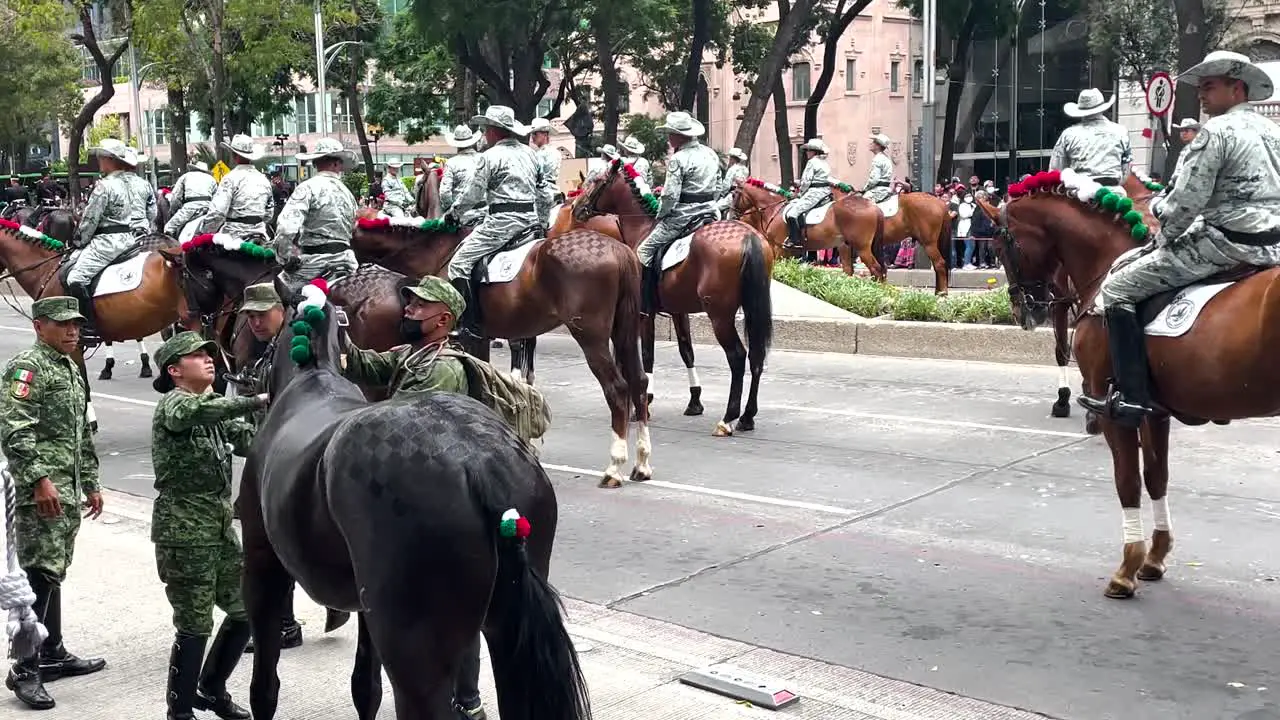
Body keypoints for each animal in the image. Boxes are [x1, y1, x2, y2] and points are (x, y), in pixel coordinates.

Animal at [240, 281, 588, 717]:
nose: (243, 368)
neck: (311, 380)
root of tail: (481, 462)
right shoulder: (367, 609)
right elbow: (365, 688)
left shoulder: (262, 564)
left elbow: (264, 684)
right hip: (505, 632)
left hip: (413, 654)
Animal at [348, 210, 650, 484]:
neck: (438, 251)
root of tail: (618, 249)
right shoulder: (480, 338)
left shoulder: (469, 337)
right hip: (625, 332)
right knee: (639, 382)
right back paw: (642, 463)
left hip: (591, 337)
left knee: (617, 389)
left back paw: (614, 466)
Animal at [578, 158, 773, 435]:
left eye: (596, 180)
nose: (576, 207)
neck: (642, 228)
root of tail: (748, 236)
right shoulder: (679, 312)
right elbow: (686, 351)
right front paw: (694, 401)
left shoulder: (644, 314)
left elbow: (647, 356)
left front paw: (644, 403)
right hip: (752, 308)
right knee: (756, 356)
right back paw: (747, 417)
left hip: (720, 316)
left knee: (737, 357)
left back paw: (728, 418)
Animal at [977, 170, 1280, 597]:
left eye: (1001, 247)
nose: (1024, 311)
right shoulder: (1154, 411)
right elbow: (1156, 477)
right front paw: (1155, 556)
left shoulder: (1113, 409)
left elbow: (1128, 482)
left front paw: (1128, 566)